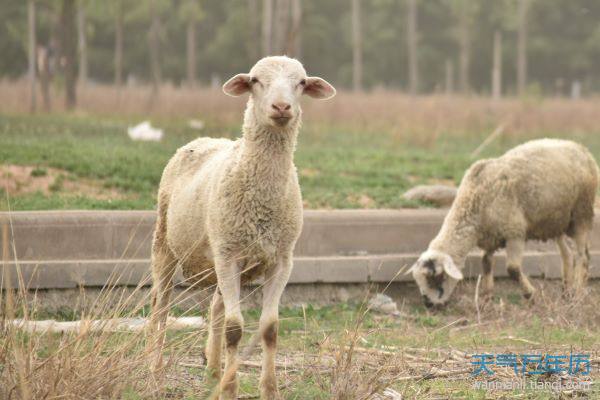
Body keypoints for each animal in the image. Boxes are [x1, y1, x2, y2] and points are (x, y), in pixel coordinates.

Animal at [147, 57, 336, 400]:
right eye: (256, 80)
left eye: (301, 82)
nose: (282, 106)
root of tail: (204, 140)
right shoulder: (229, 256)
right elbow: (235, 329)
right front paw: (231, 389)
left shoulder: (281, 260)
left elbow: (270, 329)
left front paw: (269, 389)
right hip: (167, 242)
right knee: (160, 305)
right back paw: (154, 368)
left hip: (221, 252)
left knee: (216, 306)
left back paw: (213, 371)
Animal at [410, 139, 596, 308]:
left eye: (437, 277)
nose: (428, 304)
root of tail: (581, 148)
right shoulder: (490, 236)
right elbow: (486, 263)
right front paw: (486, 299)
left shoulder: (515, 233)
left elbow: (512, 269)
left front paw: (530, 295)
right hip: (555, 221)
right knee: (567, 254)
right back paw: (566, 292)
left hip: (581, 212)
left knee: (583, 255)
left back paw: (578, 294)